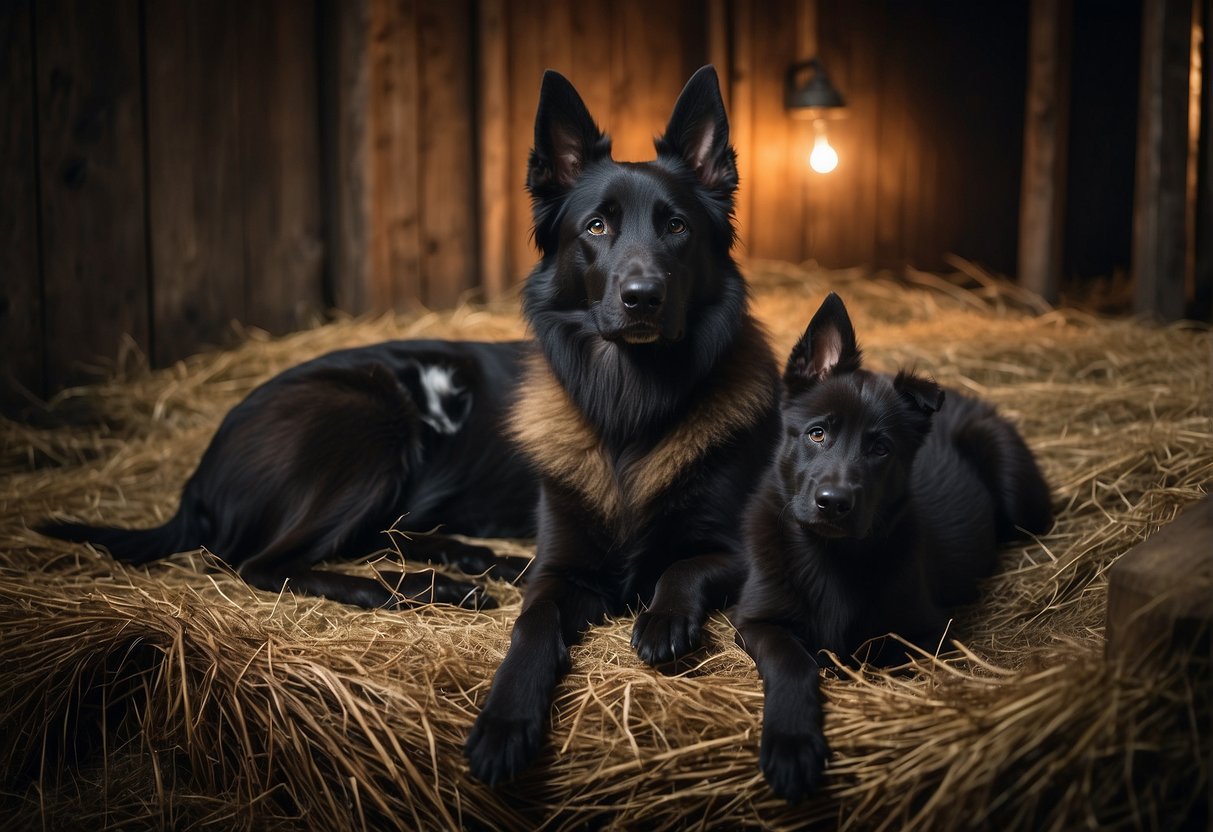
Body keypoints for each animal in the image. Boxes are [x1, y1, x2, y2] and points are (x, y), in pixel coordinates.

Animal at [458, 66, 781, 790]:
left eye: (677, 227)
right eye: (598, 226)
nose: (642, 298)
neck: (630, 406)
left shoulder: (735, 550)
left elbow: (681, 568)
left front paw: (661, 619)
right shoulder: (558, 569)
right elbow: (530, 624)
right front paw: (505, 719)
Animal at [727, 297, 1052, 805]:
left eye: (880, 448)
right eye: (816, 434)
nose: (834, 503)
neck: (829, 555)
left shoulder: (927, 635)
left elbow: (875, 653)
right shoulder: (757, 621)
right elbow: (791, 659)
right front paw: (791, 743)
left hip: (1019, 494)